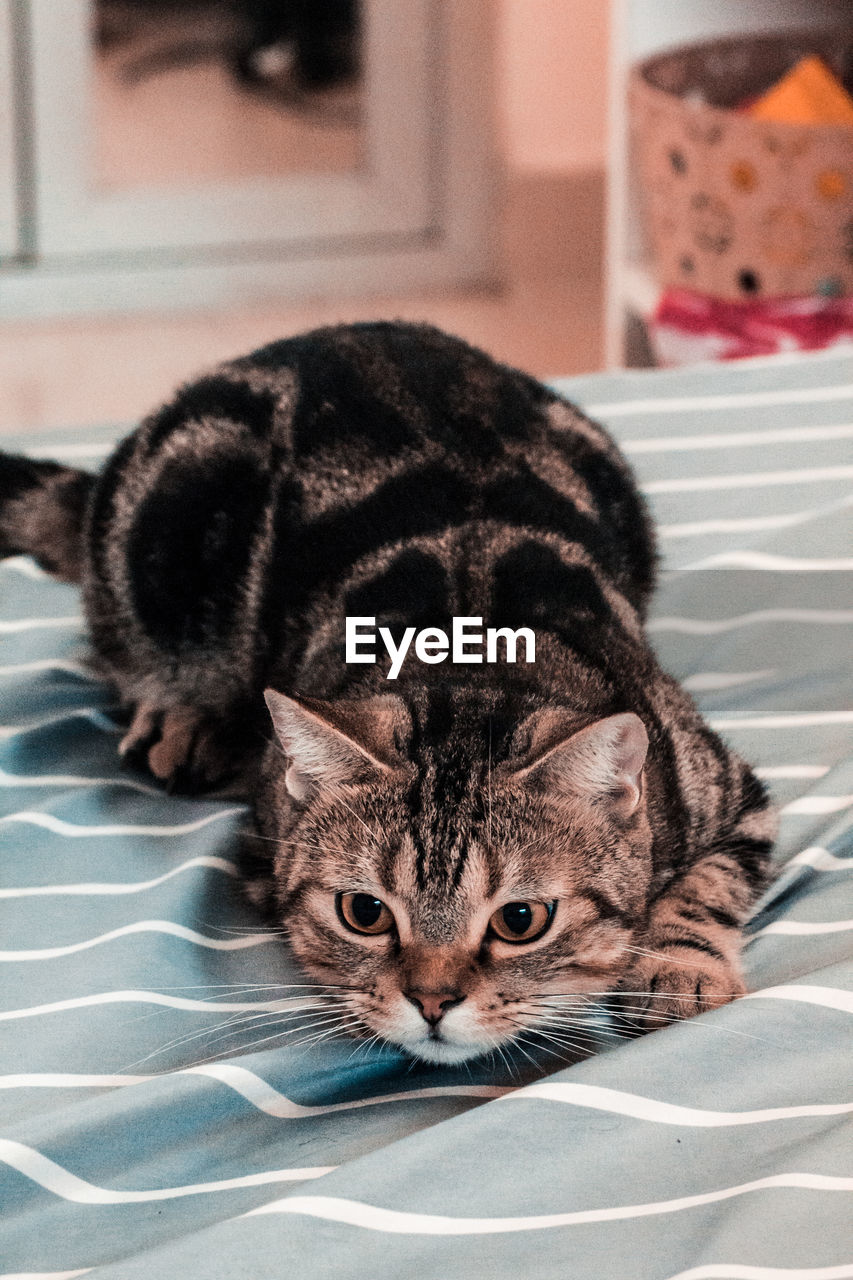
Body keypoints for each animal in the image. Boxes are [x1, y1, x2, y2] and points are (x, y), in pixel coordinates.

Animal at [0, 325, 768, 1064]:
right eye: (364, 914)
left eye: (521, 920)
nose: (432, 1002)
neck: (474, 653)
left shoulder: (730, 788)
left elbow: (706, 888)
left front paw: (680, 968)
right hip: (163, 522)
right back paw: (182, 718)